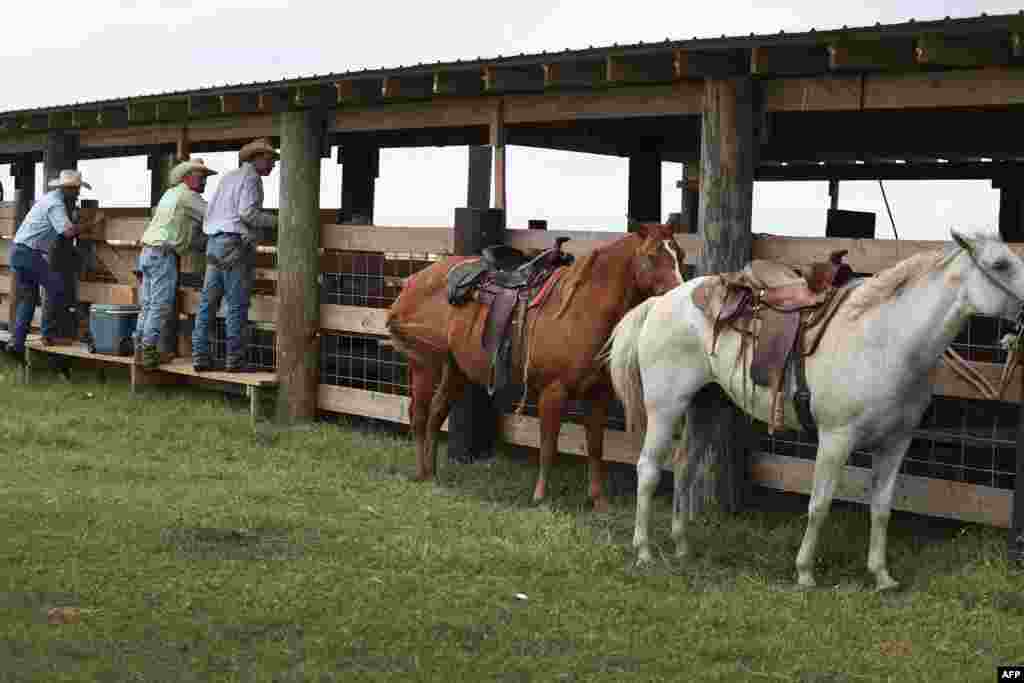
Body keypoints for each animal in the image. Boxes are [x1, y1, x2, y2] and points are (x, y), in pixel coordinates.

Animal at [387, 225, 684, 511]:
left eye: (679, 255)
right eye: (651, 255)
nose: (677, 296)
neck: (580, 309)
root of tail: (413, 281)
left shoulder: (597, 395)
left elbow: (595, 447)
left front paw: (598, 501)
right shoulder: (553, 393)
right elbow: (548, 446)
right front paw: (540, 497)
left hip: (455, 369)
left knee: (436, 414)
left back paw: (431, 473)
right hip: (424, 364)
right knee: (419, 415)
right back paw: (420, 472)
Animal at [602, 228, 1024, 589]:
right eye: (1000, 264)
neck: (885, 339)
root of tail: (661, 302)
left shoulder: (895, 443)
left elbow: (881, 508)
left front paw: (881, 575)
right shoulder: (836, 440)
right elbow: (820, 505)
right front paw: (805, 572)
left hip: (708, 406)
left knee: (686, 467)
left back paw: (682, 547)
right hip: (665, 407)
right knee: (648, 469)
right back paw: (644, 551)